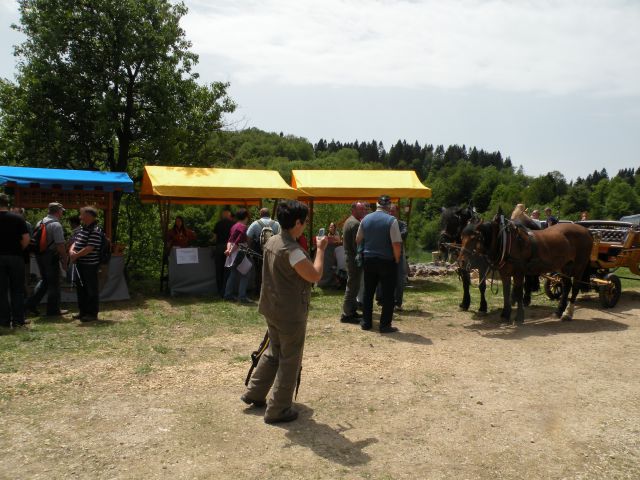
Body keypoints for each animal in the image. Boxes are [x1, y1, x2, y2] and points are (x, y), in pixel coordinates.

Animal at [458, 213, 592, 322]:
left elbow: (518, 293)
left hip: (579, 266)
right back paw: (559, 311)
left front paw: (519, 317)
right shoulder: (505, 273)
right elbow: (506, 292)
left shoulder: (518, 273)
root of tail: (586, 230)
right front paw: (505, 314)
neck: (507, 242)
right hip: (565, 266)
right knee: (566, 286)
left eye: (475, 237)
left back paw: (568, 313)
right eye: (461, 237)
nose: (461, 262)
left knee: (575, 288)